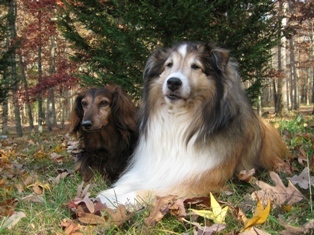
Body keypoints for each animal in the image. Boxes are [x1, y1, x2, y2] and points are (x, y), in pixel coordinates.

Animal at [97, 41, 288, 207]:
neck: (179, 119)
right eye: (169, 65)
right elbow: (131, 182)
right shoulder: (154, 168)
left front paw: (118, 200)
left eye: (196, 66)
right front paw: (108, 193)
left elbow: (151, 191)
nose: (173, 82)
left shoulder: (203, 181)